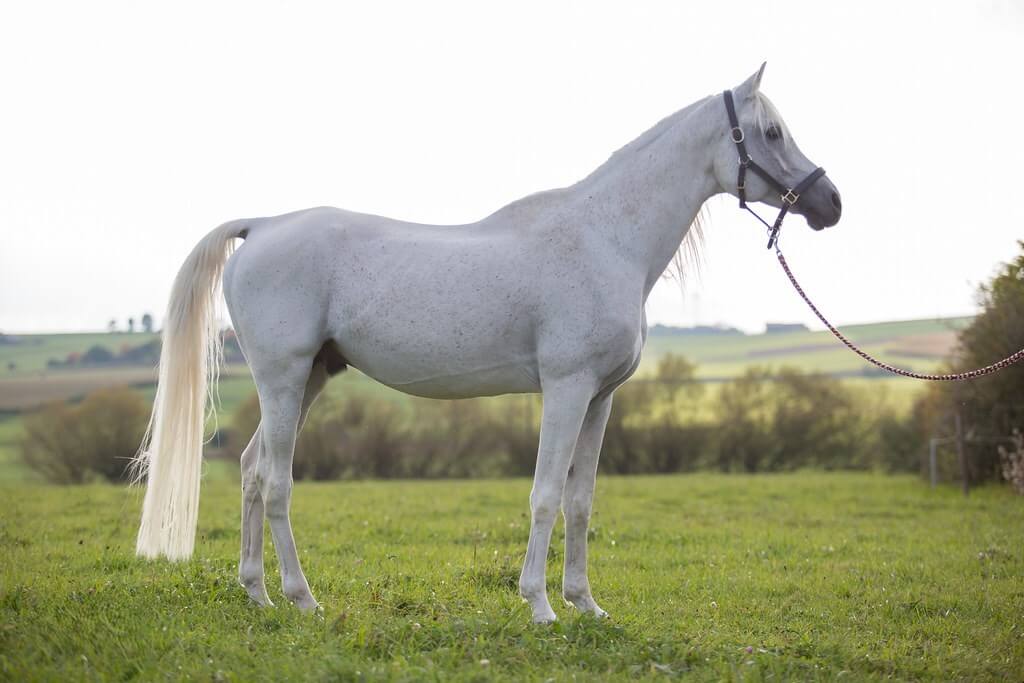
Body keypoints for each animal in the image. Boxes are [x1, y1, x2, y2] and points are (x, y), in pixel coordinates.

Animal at [134, 65, 839, 626]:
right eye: (772, 133)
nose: (830, 203)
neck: (606, 238)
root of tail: (264, 226)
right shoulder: (566, 389)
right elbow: (546, 495)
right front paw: (541, 606)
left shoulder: (601, 399)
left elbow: (580, 501)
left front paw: (587, 604)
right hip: (282, 379)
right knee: (275, 480)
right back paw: (302, 598)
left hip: (309, 378)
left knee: (251, 469)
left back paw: (257, 594)